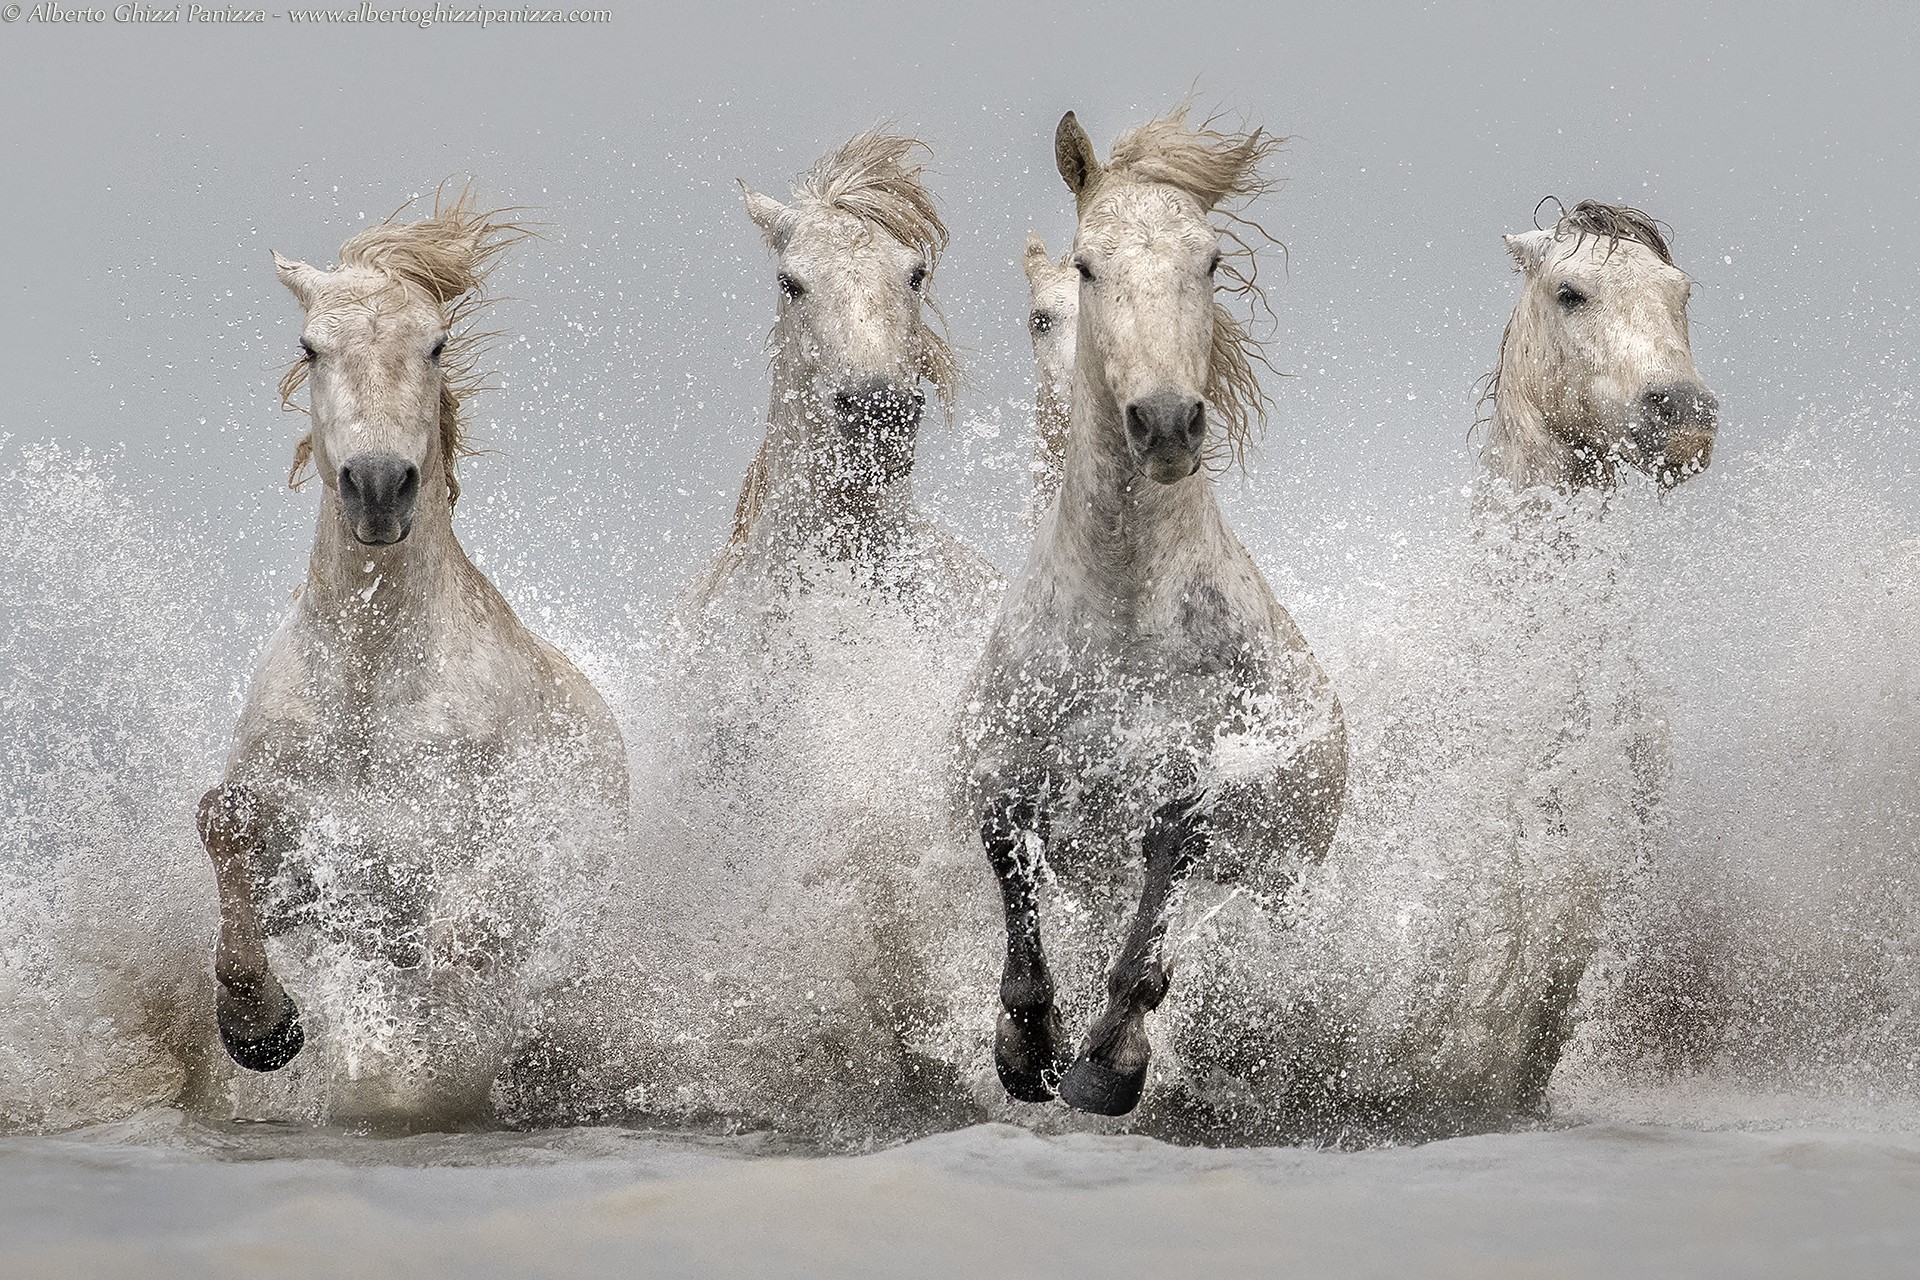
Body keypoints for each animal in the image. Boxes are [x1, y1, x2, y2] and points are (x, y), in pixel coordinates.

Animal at [197, 193, 628, 1125]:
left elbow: (462, 939)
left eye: (434, 344)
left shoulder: (463, 861)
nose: (377, 487)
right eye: (310, 347)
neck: (370, 685)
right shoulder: (311, 856)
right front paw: (260, 1027)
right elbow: (225, 822)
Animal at [955, 110, 1348, 1117]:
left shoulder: (1198, 785)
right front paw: (1026, 1051)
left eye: (1209, 261)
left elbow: (1163, 882)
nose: (1166, 423)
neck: (1123, 616)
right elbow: (1011, 869)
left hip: (1284, 885)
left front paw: (1105, 1066)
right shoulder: (1004, 767)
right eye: (1089, 266)